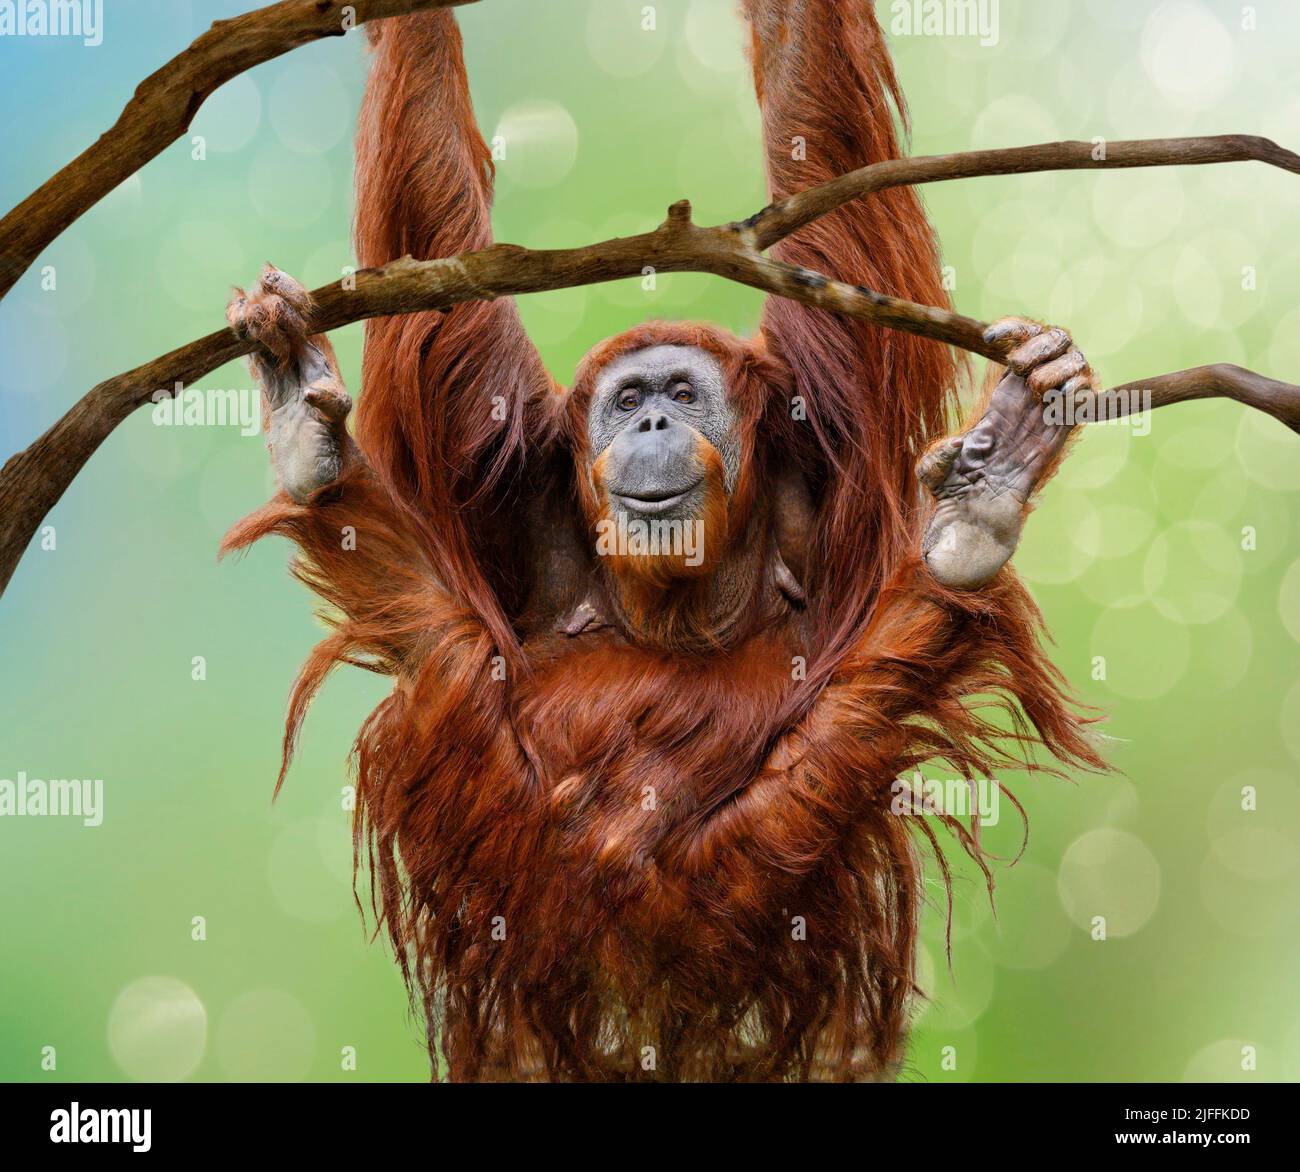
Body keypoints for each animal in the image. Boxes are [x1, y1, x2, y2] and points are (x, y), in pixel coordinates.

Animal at [221, 4, 1104, 1081]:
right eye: (628, 399)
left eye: (682, 393)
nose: (648, 423)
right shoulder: (505, 468)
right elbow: (438, 271)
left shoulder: (831, 420)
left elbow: (822, 164)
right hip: (502, 837)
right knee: (439, 649)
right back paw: (306, 438)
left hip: (747, 881)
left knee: (852, 723)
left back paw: (974, 515)